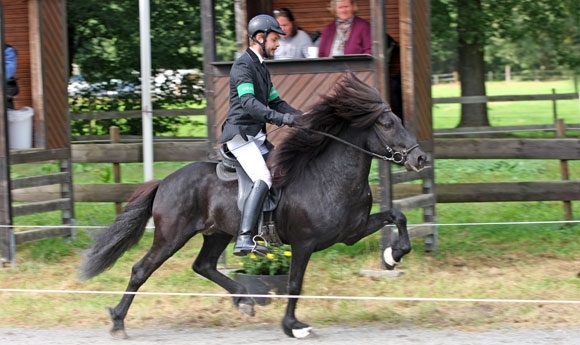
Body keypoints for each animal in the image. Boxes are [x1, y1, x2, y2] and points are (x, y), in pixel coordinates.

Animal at [80, 71, 426, 338]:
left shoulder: (352, 231)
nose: (420, 159)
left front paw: (393, 256)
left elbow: (398, 215)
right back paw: (118, 321)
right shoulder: (304, 243)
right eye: (387, 124)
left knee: (203, 265)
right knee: (142, 270)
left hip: (218, 233)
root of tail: (165, 182)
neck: (329, 176)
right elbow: (295, 282)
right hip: (171, 236)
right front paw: (293, 326)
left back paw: (244, 299)